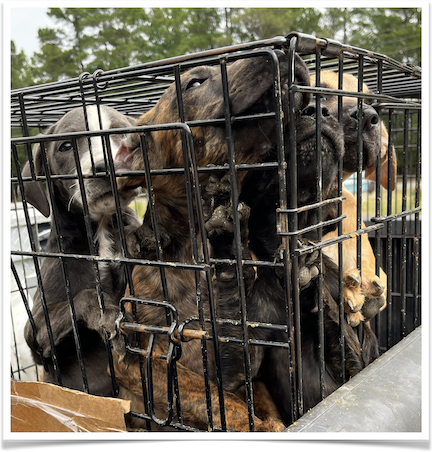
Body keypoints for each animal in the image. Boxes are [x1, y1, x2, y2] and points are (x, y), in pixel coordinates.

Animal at [22, 106, 140, 396]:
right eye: (65, 146)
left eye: (122, 134)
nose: (105, 166)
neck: (100, 231)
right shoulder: (36, 336)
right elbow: (85, 296)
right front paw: (108, 315)